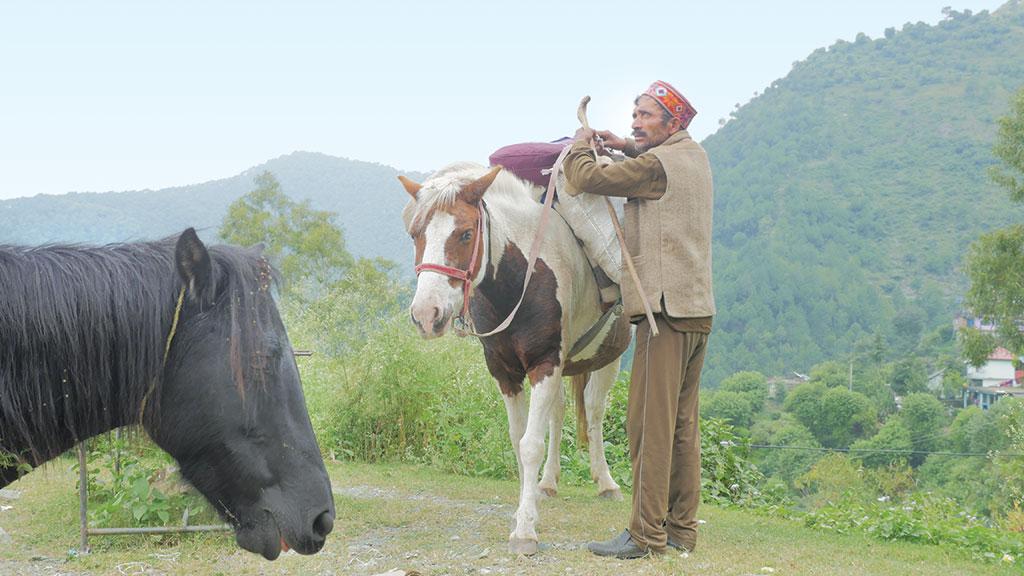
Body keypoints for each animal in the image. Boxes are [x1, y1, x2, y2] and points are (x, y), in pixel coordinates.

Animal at [401, 159, 630, 553]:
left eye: (465, 234)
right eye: (416, 233)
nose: (427, 315)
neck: (522, 278)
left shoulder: (545, 362)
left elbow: (530, 445)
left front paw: (524, 529)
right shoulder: (506, 372)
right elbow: (517, 439)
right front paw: (529, 504)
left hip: (607, 359)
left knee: (595, 412)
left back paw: (606, 482)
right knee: (558, 413)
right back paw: (548, 483)